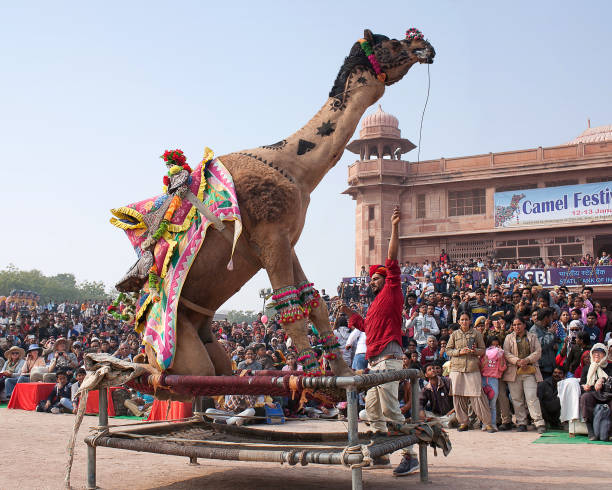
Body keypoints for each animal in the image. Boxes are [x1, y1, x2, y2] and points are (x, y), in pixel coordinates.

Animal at [110, 28, 436, 384]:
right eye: (393, 42)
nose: (424, 46)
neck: (293, 167)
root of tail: (145, 343)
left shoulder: (287, 239)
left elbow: (315, 303)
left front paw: (342, 372)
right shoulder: (270, 235)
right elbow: (290, 310)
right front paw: (309, 378)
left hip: (210, 352)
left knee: (213, 369)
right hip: (179, 357)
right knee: (170, 374)